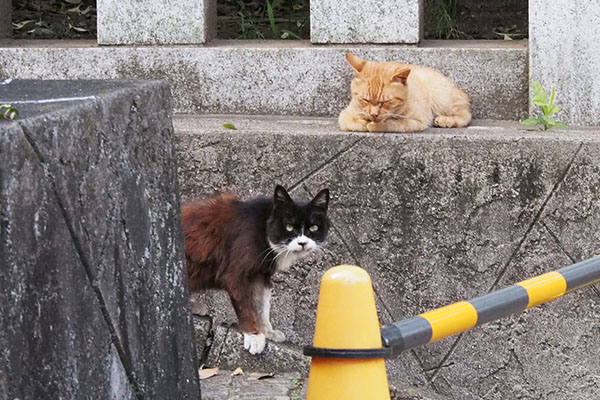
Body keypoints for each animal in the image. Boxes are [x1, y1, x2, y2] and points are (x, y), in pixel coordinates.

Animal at [184, 186, 332, 354]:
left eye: (313, 228)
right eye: (289, 226)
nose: (302, 243)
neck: (263, 228)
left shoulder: (262, 274)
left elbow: (263, 304)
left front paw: (267, 331)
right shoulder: (235, 273)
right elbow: (246, 305)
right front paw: (254, 336)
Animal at [340, 53, 472, 133]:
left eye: (385, 102)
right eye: (365, 100)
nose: (373, 114)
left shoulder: (418, 121)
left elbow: (392, 124)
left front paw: (373, 125)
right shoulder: (345, 115)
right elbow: (352, 122)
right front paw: (365, 121)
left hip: (442, 99)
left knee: (466, 115)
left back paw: (445, 120)